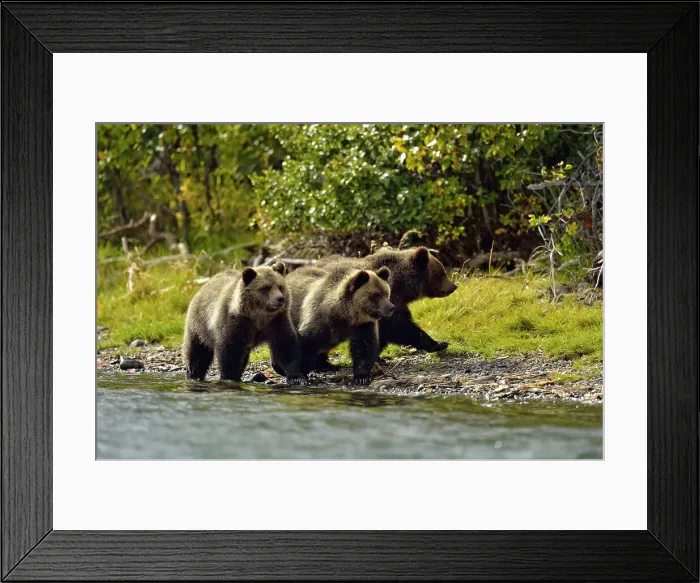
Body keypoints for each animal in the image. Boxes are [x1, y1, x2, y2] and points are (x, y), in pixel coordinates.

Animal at [313, 246, 457, 370]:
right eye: (442, 273)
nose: (454, 286)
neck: (401, 284)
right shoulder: (385, 301)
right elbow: (399, 327)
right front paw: (439, 344)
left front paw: (378, 357)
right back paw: (323, 364)